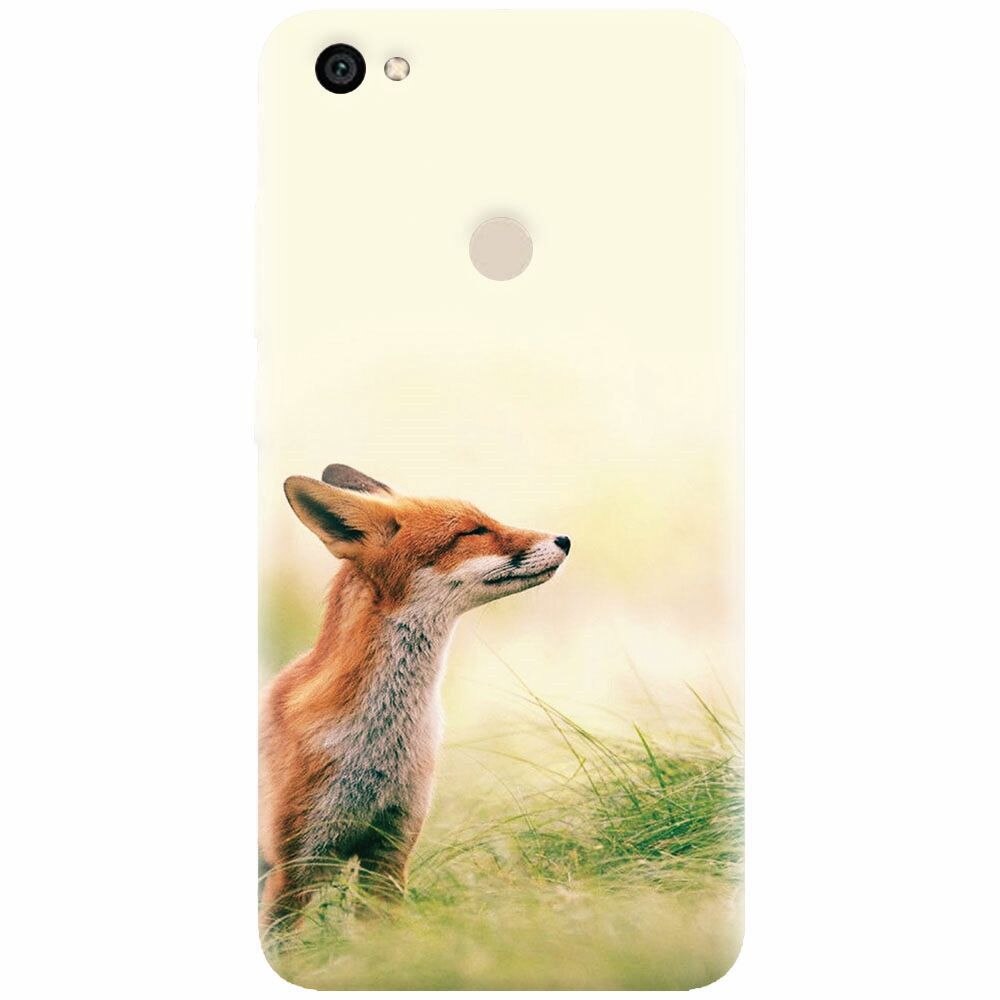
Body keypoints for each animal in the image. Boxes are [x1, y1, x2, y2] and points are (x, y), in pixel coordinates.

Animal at [259, 463, 570, 932]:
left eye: (487, 519)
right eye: (473, 531)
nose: (565, 540)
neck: (380, 745)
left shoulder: (390, 851)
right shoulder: (292, 868)